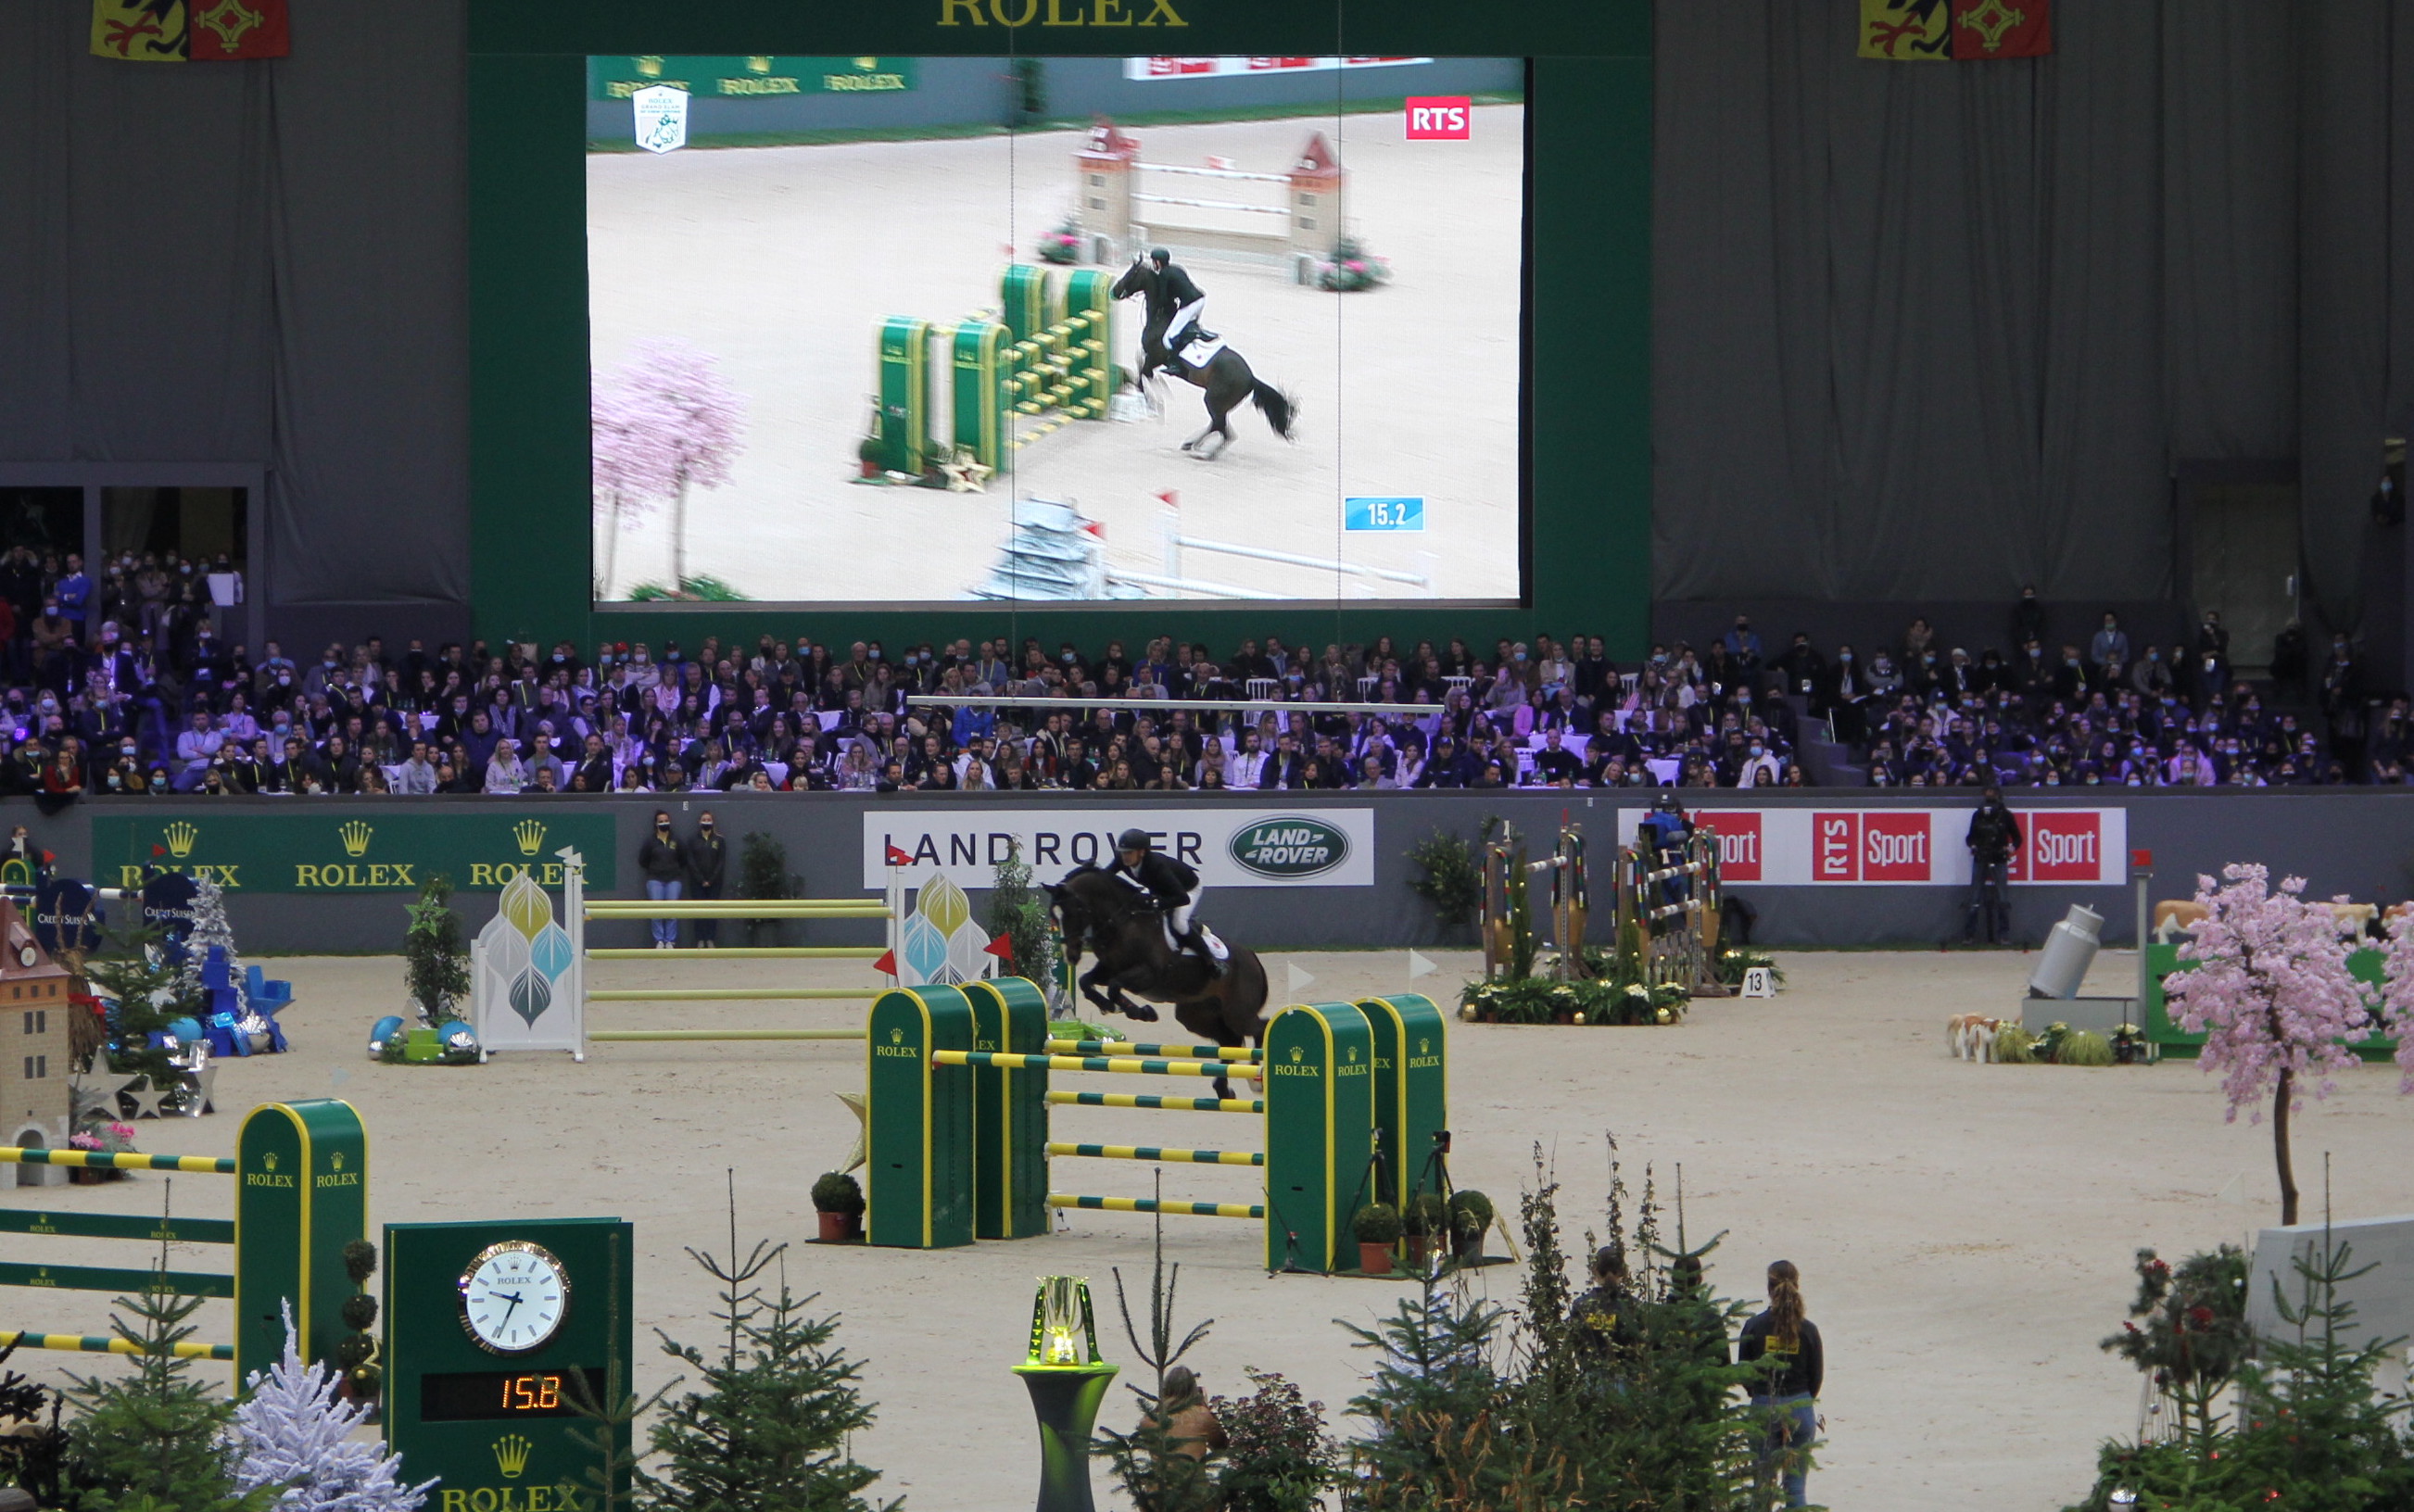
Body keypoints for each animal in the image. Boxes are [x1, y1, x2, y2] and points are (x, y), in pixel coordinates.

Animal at [1043, 860, 1274, 1096]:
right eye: (1054, 914)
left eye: (1074, 911)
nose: (1070, 956)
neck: (1123, 922)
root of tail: (1252, 958)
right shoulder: (1108, 970)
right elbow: (1086, 983)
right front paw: (1112, 1007)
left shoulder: (1148, 974)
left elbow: (1114, 987)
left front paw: (1141, 1012)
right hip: (1196, 1015)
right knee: (1231, 1040)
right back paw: (1224, 1089)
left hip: (1237, 1013)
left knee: (1260, 1027)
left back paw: (1256, 1079)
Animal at [1110, 255, 1303, 459]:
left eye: (1130, 273)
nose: (1114, 291)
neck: (1160, 318)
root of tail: (1251, 378)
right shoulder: (1151, 359)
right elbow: (1142, 371)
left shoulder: (1154, 359)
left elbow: (1142, 375)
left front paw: (1152, 401)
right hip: (1220, 404)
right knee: (1217, 426)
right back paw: (1191, 444)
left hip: (1213, 400)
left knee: (1224, 430)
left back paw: (1205, 454)